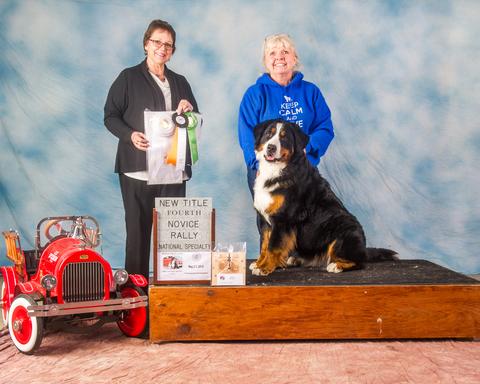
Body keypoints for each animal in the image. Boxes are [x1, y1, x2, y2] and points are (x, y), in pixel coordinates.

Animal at [249, 118, 396, 274]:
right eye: (268, 134)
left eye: (284, 138)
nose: (271, 147)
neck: (276, 171)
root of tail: (364, 249)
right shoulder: (264, 220)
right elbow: (264, 245)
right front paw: (259, 263)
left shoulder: (283, 219)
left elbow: (273, 247)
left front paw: (264, 268)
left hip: (344, 232)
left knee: (358, 262)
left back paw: (336, 265)